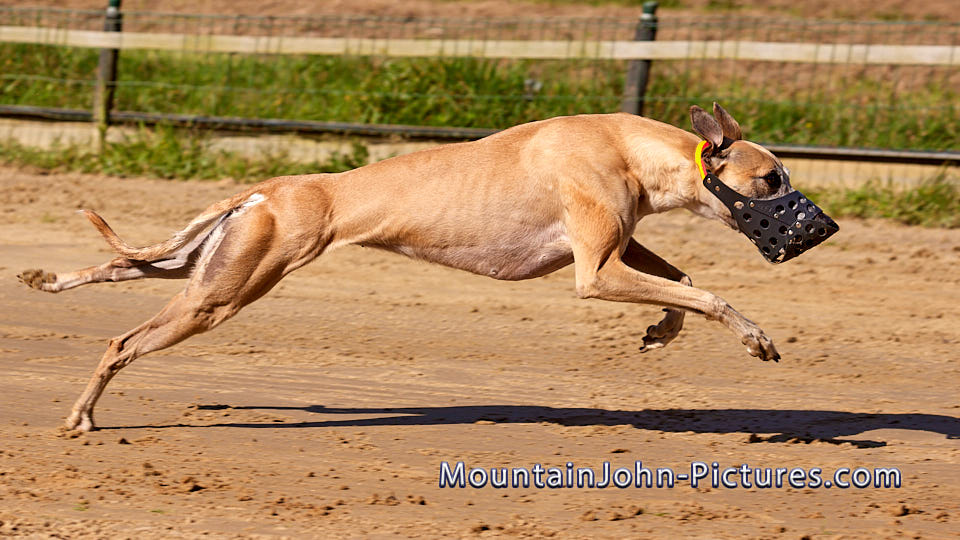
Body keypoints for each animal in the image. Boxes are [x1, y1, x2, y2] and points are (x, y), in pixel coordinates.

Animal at [20, 103, 826, 432]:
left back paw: (44, 280)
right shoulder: (595, 271)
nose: (825, 228)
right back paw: (80, 415)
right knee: (121, 341)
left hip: (207, 265)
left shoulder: (615, 245)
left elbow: (683, 285)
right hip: (223, 294)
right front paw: (755, 337)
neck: (631, 146)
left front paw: (661, 330)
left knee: (118, 269)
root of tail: (271, 188)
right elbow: (710, 293)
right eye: (771, 178)